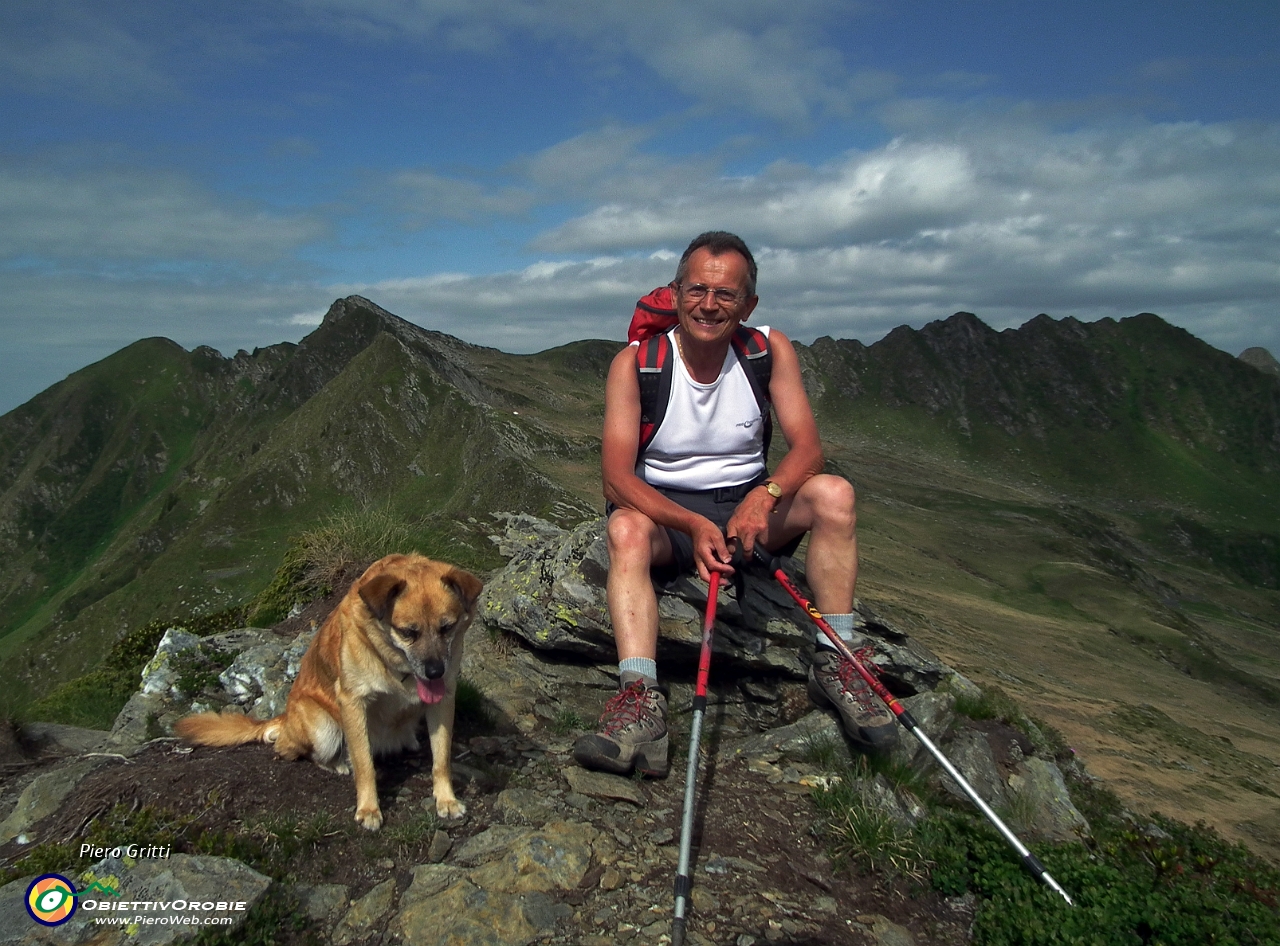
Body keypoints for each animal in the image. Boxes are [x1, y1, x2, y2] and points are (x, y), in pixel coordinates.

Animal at [175, 555, 481, 829]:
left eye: (447, 627)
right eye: (408, 632)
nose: (435, 672)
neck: (395, 665)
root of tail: (284, 718)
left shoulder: (444, 699)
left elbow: (441, 758)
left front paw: (446, 799)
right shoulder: (352, 702)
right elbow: (364, 763)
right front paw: (368, 808)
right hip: (324, 729)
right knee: (291, 750)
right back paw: (338, 763)